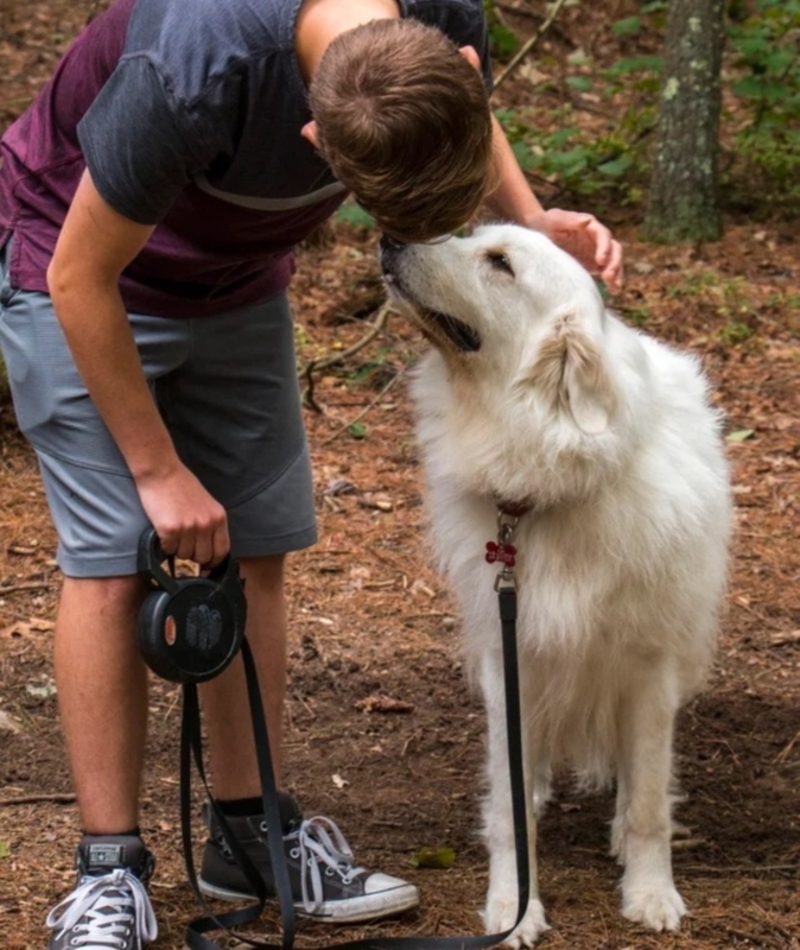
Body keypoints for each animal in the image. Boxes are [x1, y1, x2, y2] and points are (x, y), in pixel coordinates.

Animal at [382, 227, 732, 948]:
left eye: (500, 264)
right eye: (472, 236)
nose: (392, 238)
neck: (545, 491)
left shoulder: (648, 669)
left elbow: (650, 801)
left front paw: (651, 892)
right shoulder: (509, 656)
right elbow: (510, 810)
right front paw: (514, 906)